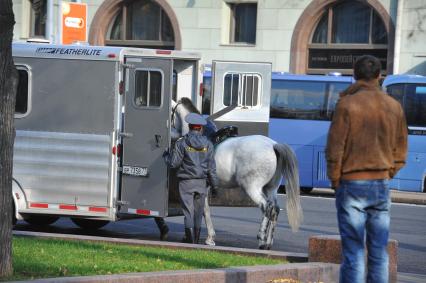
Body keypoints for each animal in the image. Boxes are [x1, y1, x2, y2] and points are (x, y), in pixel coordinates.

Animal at [171, 98, 302, 250]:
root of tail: (274, 145)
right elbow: (204, 210)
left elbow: (204, 210)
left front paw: (209, 238)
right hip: (271, 188)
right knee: (275, 210)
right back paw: (268, 243)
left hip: (252, 188)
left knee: (266, 208)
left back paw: (261, 239)